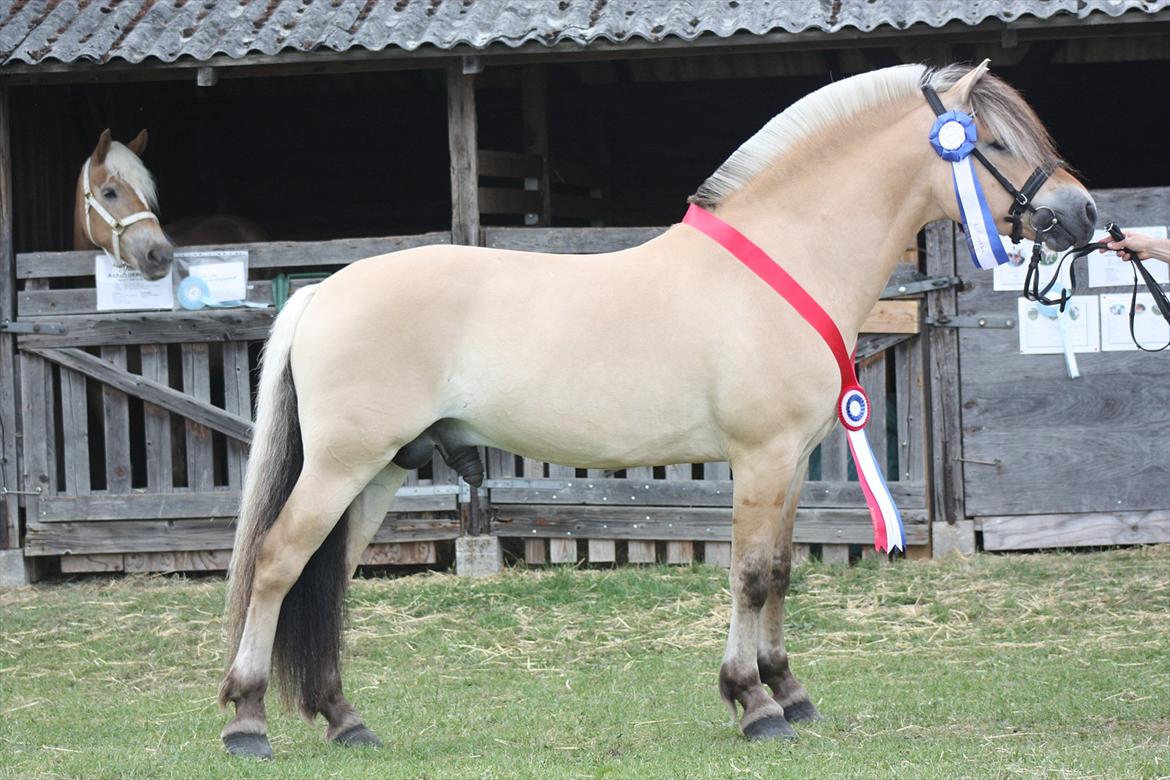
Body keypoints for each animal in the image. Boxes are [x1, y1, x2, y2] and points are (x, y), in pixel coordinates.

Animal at [212, 64, 1095, 757]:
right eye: (996, 143)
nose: (1084, 215)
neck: (782, 260)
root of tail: (325, 290)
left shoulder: (791, 460)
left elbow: (780, 572)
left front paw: (788, 690)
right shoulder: (761, 456)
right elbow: (749, 575)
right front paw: (753, 703)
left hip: (380, 473)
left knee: (328, 575)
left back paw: (343, 719)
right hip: (342, 465)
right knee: (279, 562)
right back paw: (247, 721)